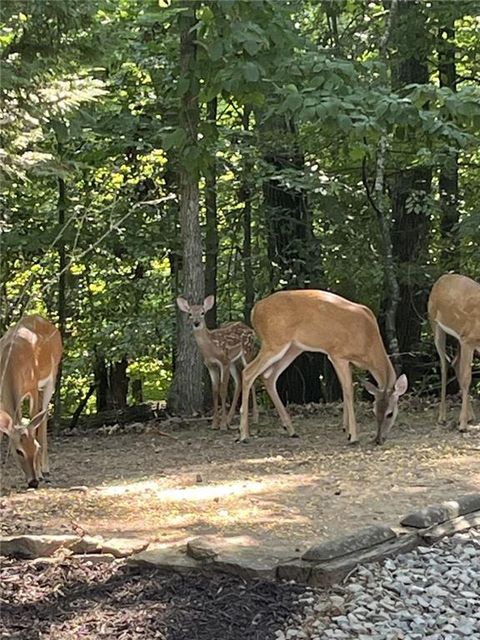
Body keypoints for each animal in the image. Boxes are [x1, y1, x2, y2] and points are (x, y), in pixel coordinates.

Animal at [0, 316, 62, 490]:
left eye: (36, 447)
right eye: (18, 451)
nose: (33, 482)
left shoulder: (33, 386)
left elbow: (33, 423)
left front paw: (39, 472)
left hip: (52, 376)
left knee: (44, 415)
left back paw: (45, 469)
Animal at [177, 296, 258, 430]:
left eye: (202, 313)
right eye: (190, 314)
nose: (196, 323)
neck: (211, 348)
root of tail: (250, 328)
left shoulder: (223, 362)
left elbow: (223, 390)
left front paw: (223, 425)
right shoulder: (211, 365)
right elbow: (215, 391)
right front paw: (215, 424)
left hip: (247, 352)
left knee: (252, 377)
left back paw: (254, 417)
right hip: (233, 361)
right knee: (239, 381)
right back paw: (231, 419)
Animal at [238, 290, 406, 444]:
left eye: (390, 413)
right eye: (374, 411)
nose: (378, 439)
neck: (368, 342)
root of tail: (254, 311)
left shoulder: (347, 362)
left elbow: (345, 390)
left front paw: (345, 429)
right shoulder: (337, 354)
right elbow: (349, 391)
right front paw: (353, 436)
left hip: (293, 348)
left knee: (269, 376)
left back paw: (291, 430)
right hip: (274, 342)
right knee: (248, 372)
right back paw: (244, 435)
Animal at [430, 272, 478, 430]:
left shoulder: (466, 341)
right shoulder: (468, 340)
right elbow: (467, 378)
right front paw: (462, 424)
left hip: (458, 338)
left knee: (455, 364)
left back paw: (470, 416)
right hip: (435, 325)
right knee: (445, 365)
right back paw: (442, 417)